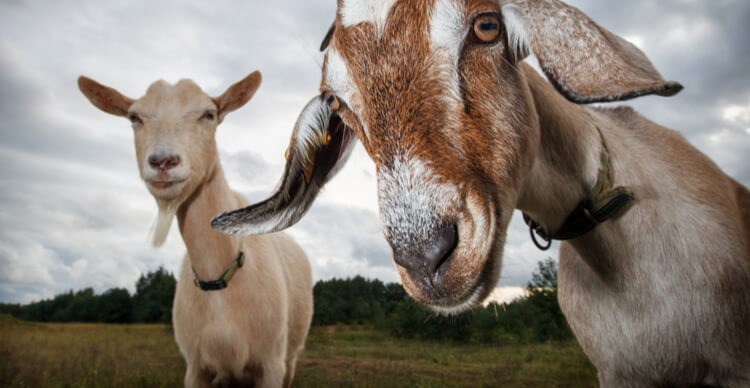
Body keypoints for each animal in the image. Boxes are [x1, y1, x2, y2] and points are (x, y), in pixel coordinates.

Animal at [81, 73, 316, 388]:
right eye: (134, 117)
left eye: (209, 114)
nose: (163, 161)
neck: (218, 277)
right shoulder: (195, 369)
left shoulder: (270, 366)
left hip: (291, 355)